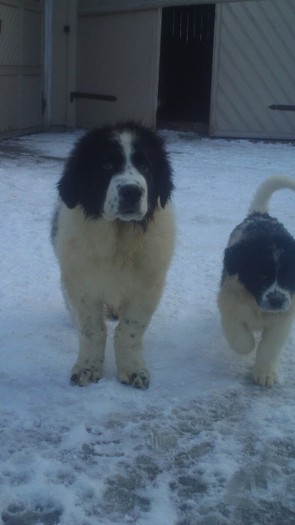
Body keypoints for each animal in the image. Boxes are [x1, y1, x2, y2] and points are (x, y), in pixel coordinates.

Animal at [52, 121, 176, 386]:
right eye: (107, 165)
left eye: (145, 167)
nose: (132, 192)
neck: (119, 239)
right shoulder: (82, 283)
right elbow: (91, 330)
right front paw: (87, 369)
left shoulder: (146, 286)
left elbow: (130, 330)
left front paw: (133, 370)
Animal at [219, 176, 295, 384]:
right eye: (261, 275)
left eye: (289, 276)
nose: (276, 300)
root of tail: (260, 215)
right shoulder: (229, 305)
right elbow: (239, 337)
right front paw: (249, 345)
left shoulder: (282, 319)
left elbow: (269, 347)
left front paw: (265, 373)